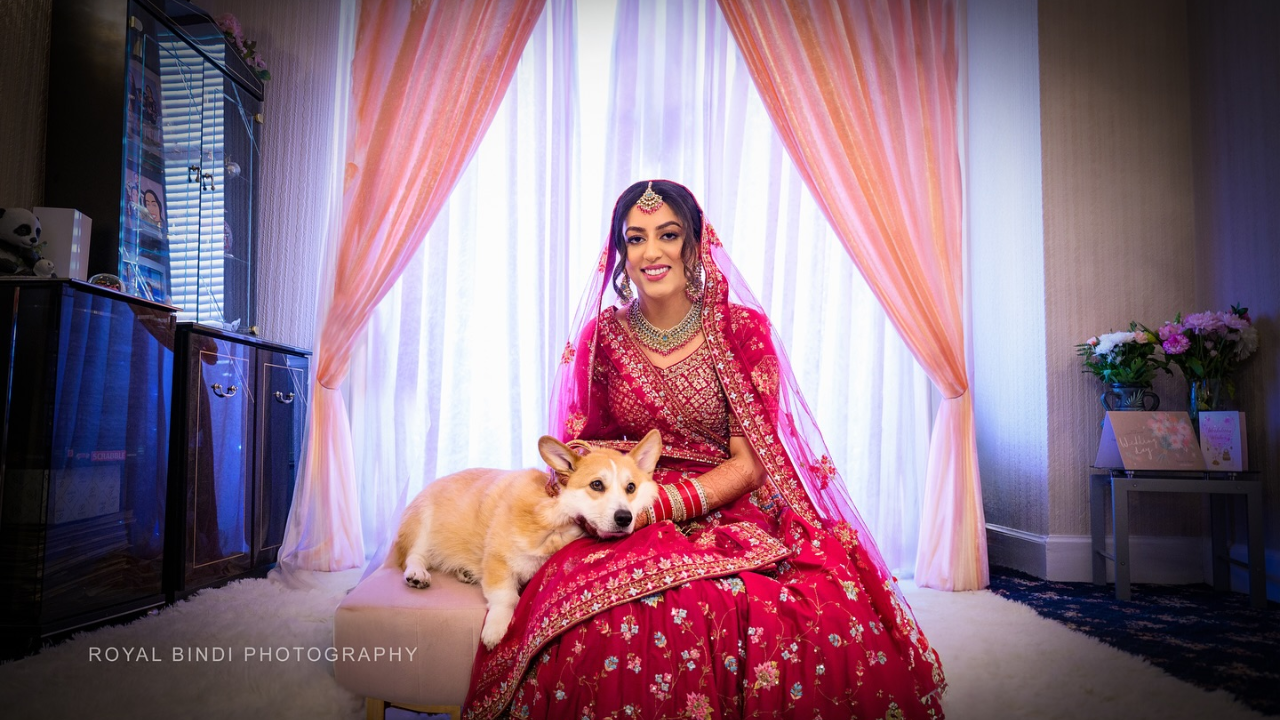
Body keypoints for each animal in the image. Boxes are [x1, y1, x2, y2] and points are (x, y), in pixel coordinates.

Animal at [381, 425, 660, 645]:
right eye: (597, 485)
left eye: (631, 488)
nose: (624, 518)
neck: (557, 520)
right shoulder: (498, 560)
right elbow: (506, 597)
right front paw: (495, 630)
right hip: (422, 523)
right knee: (415, 556)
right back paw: (417, 574)